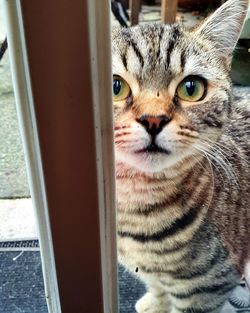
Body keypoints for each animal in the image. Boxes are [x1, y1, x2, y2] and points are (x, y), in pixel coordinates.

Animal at [112, 0, 250, 310]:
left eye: (191, 88)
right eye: (115, 86)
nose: (153, 119)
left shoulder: (207, 288)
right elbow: (156, 285)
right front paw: (155, 303)